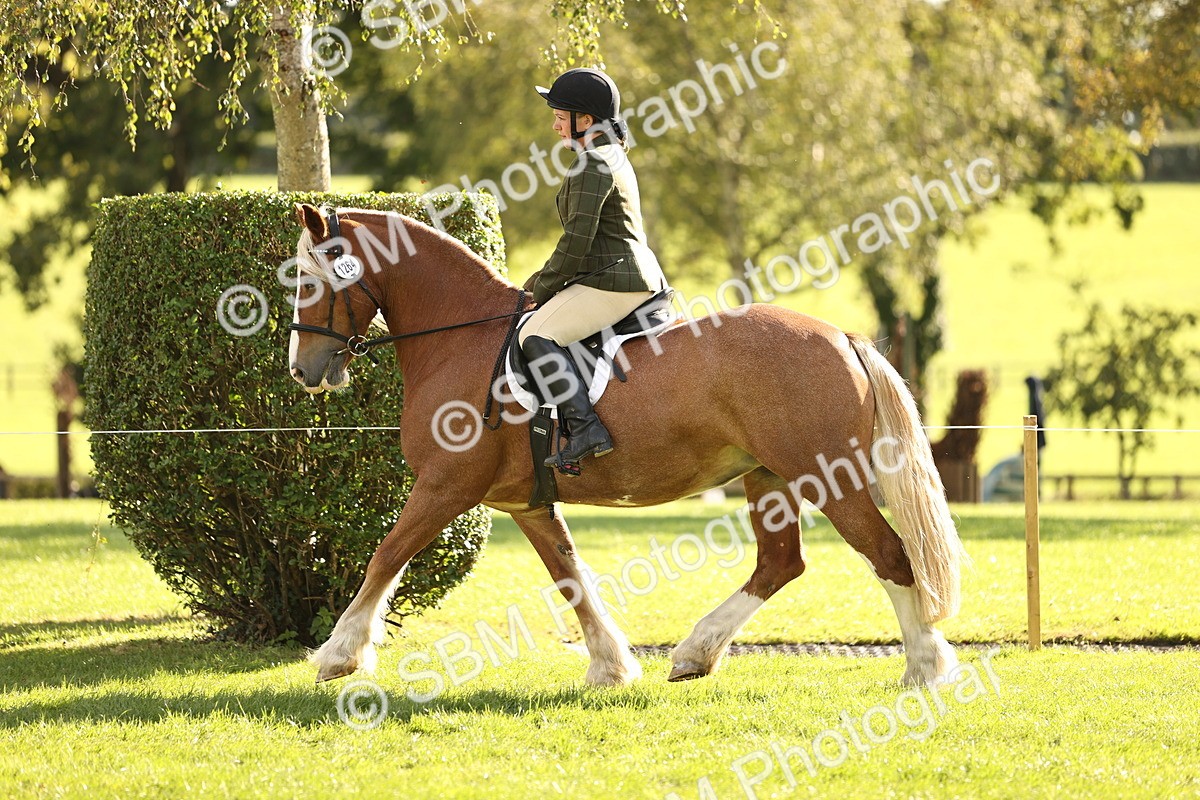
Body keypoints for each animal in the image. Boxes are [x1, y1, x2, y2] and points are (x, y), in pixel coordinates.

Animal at [286, 203, 967, 688]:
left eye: (308, 282)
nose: (302, 370)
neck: (462, 337)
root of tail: (843, 337)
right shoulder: (524, 503)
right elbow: (570, 577)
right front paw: (611, 665)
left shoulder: (445, 486)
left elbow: (384, 557)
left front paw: (339, 655)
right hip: (769, 477)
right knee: (781, 563)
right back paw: (696, 654)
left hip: (827, 477)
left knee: (889, 555)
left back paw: (925, 668)